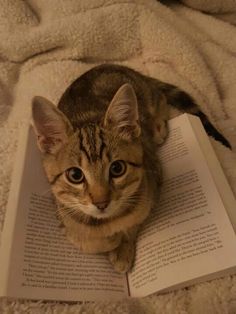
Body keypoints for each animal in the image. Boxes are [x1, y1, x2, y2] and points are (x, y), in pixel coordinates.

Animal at [30, 63, 229, 272]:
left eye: (117, 168)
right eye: (75, 174)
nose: (101, 203)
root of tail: (116, 65)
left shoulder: (151, 189)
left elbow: (131, 225)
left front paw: (122, 247)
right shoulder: (63, 217)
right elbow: (84, 239)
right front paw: (110, 241)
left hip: (148, 97)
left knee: (160, 97)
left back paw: (158, 127)